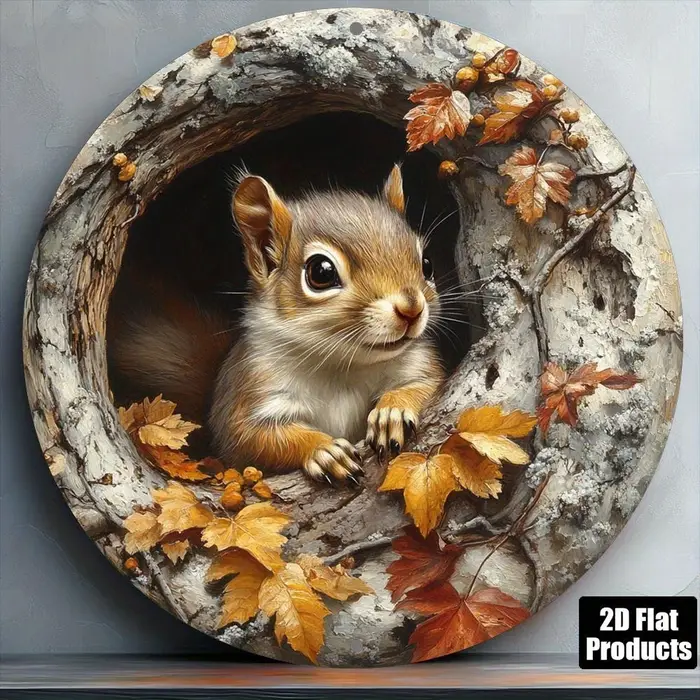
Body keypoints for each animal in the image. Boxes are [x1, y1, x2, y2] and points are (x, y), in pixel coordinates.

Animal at [110, 165, 444, 484]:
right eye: (321, 272)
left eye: (427, 264)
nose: (411, 308)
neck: (342, 365)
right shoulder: (254, 387)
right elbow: (252, 437)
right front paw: (323, 450)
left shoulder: (417, 364)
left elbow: (427, 384)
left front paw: (393, 411)